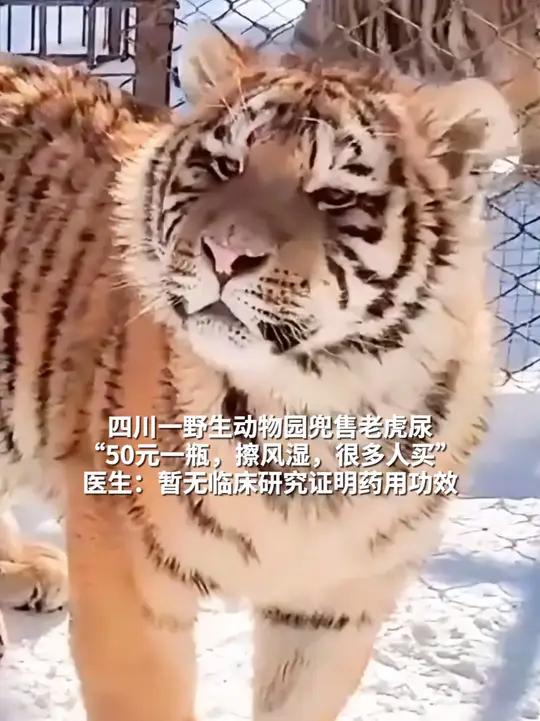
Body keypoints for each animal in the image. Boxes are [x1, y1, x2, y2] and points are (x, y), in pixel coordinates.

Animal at [0, 19, 518, 721]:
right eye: (225, 165)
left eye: (334, 196)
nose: (226, 253)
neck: (314, 410)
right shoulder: (130, 573)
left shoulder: (336, 603)